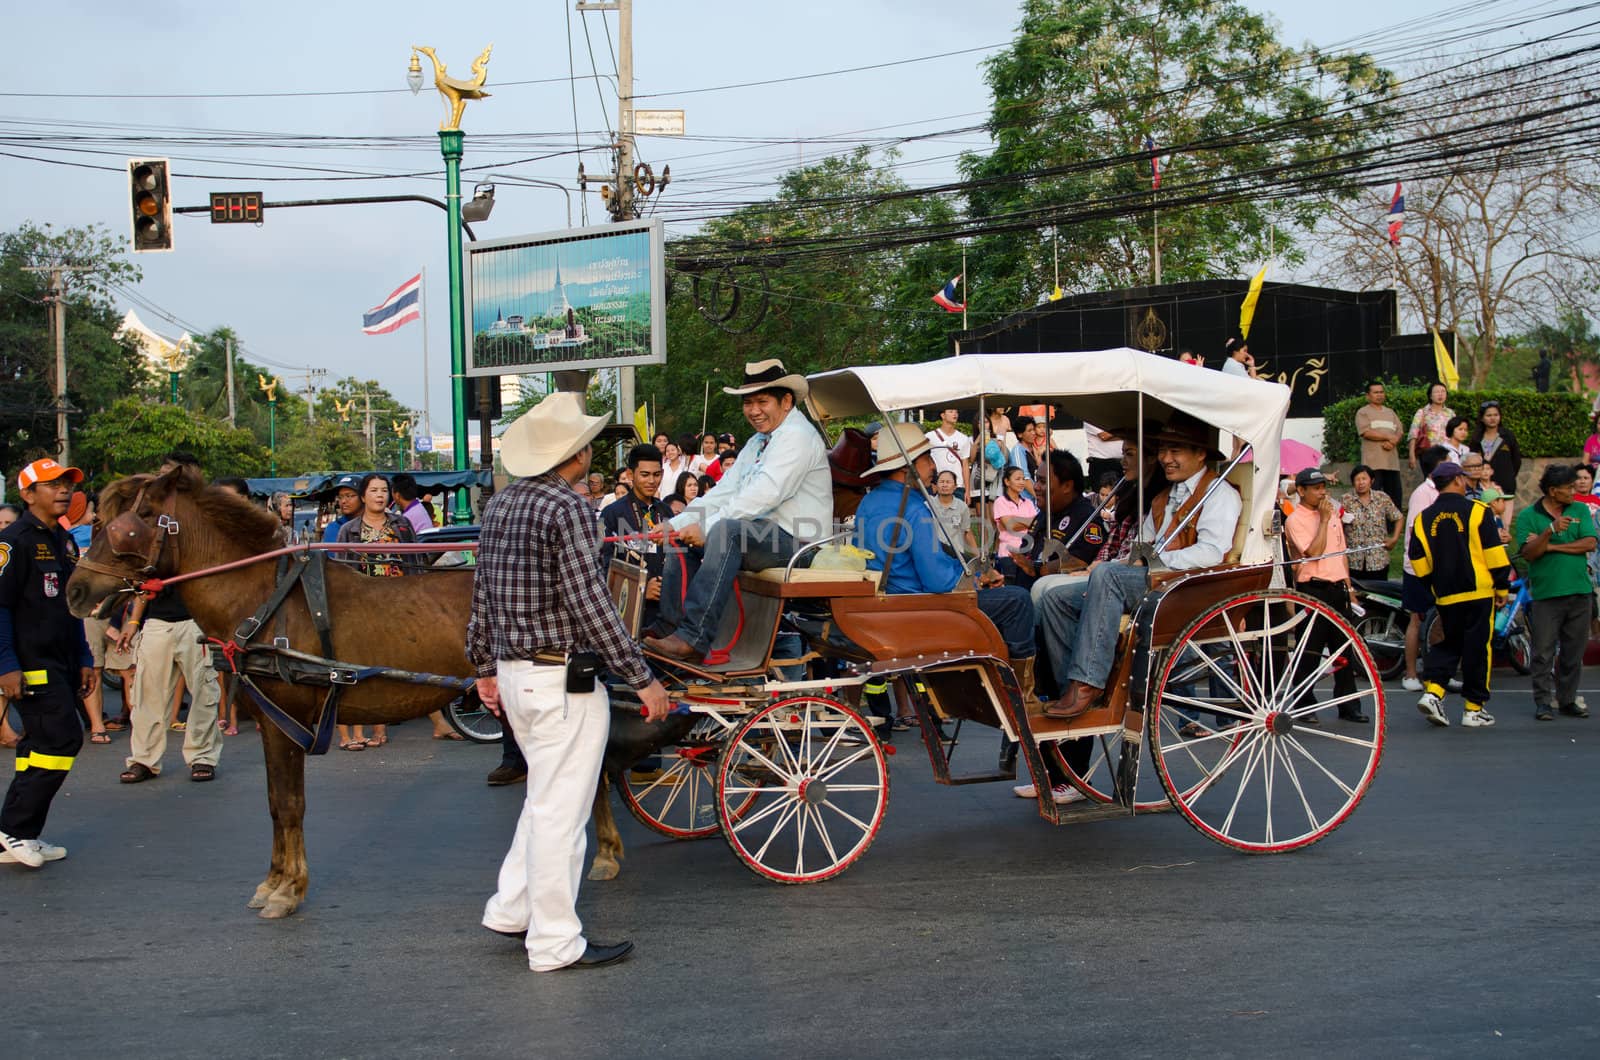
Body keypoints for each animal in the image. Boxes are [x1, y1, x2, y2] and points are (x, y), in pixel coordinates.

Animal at [64, 470, 681, 915]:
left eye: (132, 523)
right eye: (102, 518)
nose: (75, 590)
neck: (265, 600)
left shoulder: (286, 715)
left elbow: (289, 803)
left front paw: (287, 890)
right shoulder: (268, 720)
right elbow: (274, 804)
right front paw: (274, 882)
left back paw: (602, 852)